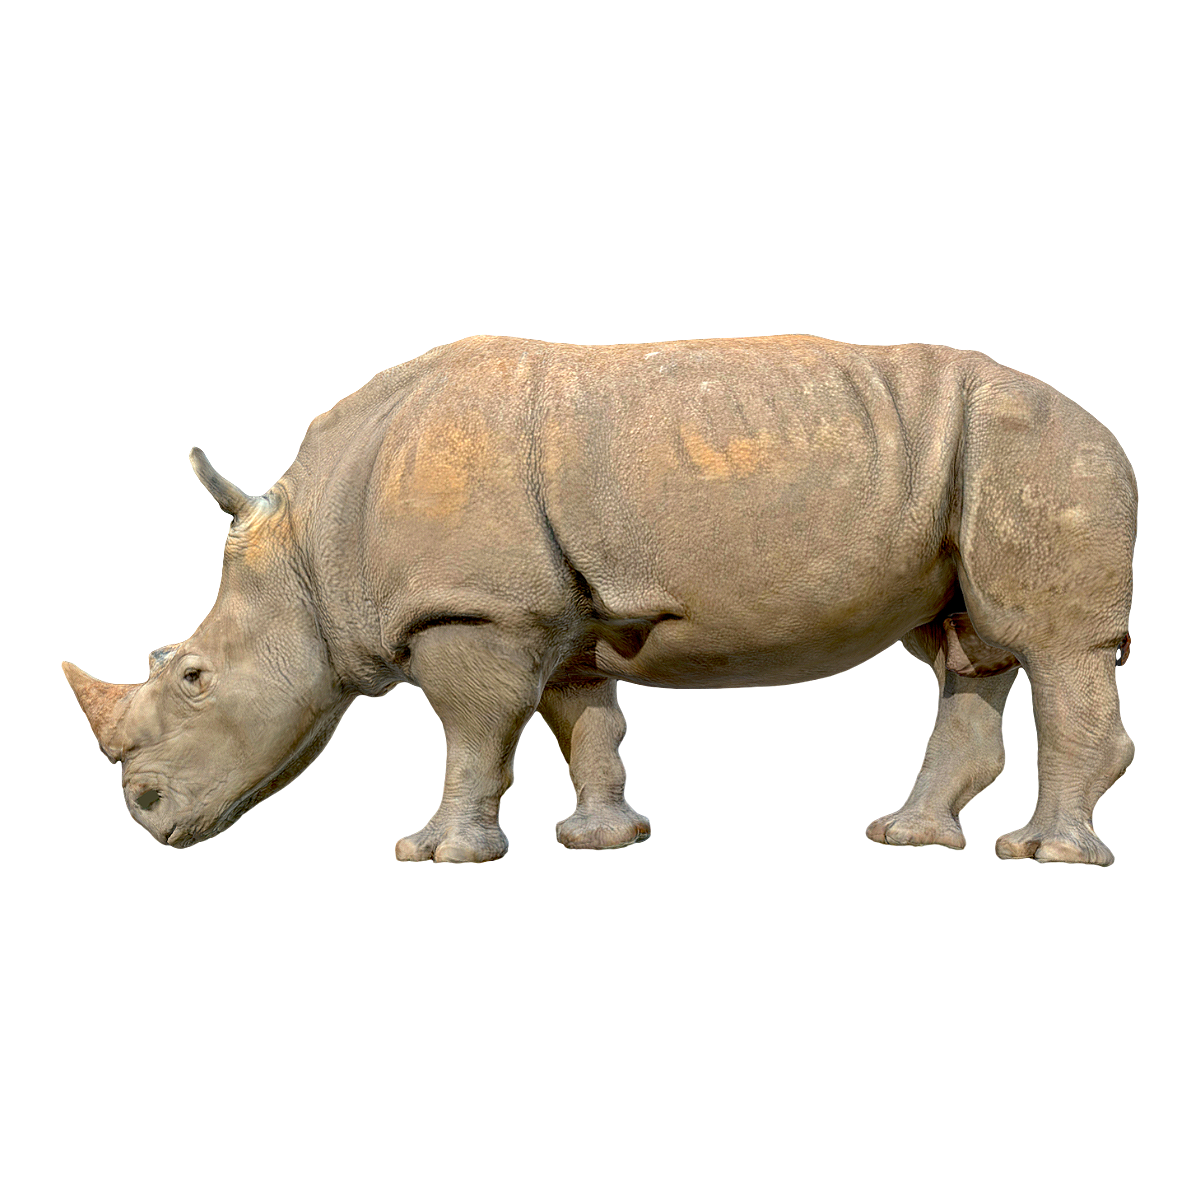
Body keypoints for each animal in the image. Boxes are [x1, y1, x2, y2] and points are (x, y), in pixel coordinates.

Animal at [62, 335, 1137, 865]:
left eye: (196, 678)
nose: (146, 816)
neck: (315, 558)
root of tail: (1093, 419)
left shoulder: (474, 606)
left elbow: (475, 729)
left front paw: (443, 854)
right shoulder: (548, 610)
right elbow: (578, 720)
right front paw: (599, 838)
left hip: (1034, 444)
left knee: (1053, 647)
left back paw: (1054, 856)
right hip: (972, 454)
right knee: (966, 647)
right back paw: (913, 839)